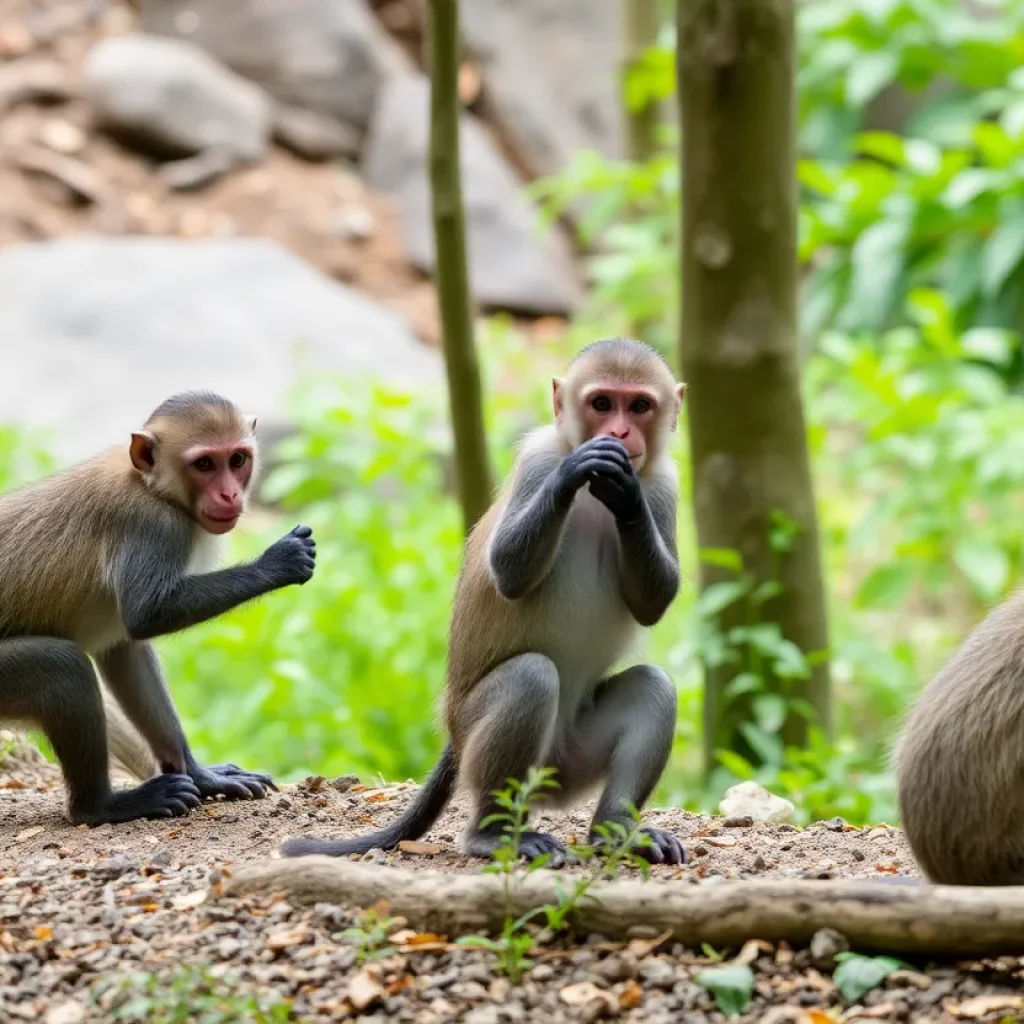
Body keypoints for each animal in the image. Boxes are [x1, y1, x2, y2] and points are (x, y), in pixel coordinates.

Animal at [0, 387, 315, 827]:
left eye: (237, 459)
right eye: (204, 464)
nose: (229, 494)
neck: (152, 486)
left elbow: (125, 654)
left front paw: (200, 774)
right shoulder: (150, 525)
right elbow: (146, 615)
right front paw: (278, 562)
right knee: (62, 667)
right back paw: (100, 806)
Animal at [280, 335, 688, 864]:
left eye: (639, 406)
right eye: (602, 403)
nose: (619, 432)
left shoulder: (664, 484)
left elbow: (653, 602)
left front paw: (627, 497)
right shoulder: (537, 459)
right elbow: (510, 572)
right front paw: (574, 472)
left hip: (571, 760)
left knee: (651, 687)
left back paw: (615, 829)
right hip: (475, 732)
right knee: (530, 678)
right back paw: (489, 833)